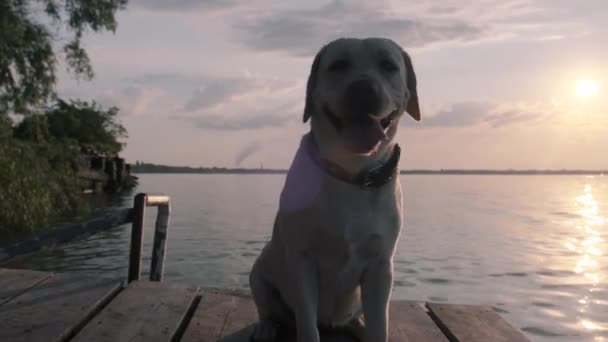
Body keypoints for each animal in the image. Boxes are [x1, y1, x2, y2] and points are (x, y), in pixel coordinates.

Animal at [249, 36, 420, 340]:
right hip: (258, 273)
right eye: (338, 65)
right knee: (269, 309)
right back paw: (266, 327)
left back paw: (358, 325)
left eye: (388, 65)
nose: (364, 89)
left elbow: (380, 326)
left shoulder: (381, 266)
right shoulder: (302, 260)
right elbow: (307, 325)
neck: (350, 173)